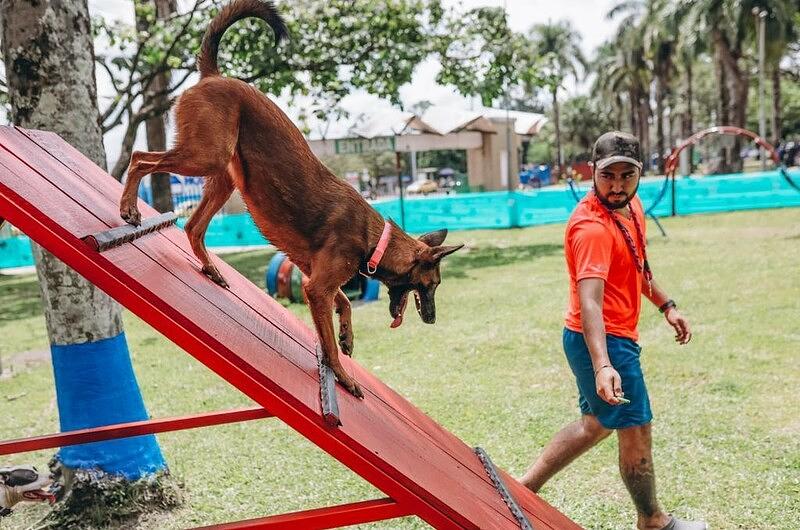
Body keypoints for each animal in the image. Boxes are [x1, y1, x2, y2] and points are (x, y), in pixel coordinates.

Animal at [122, 0, 466, 396]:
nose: (432, 319)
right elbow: (327, 340)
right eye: (432, 285)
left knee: (193, 226)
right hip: (205, 156)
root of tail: (214, 76)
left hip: (223, 176)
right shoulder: (316, 287)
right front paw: (344, 376)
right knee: (138, 158)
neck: (374, 240)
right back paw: (128, 208)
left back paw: (210, 268)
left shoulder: (312, 276)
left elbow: (344, 303)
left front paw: (347, 336)